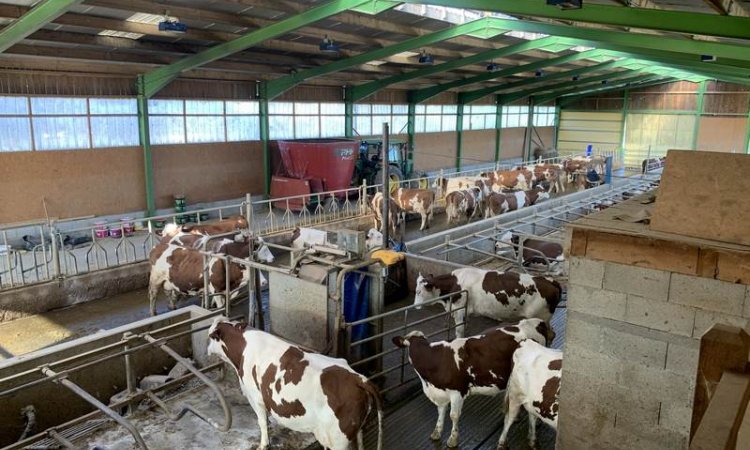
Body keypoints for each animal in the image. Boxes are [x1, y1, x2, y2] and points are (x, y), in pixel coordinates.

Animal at [207, 318, 384, 450]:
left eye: (210, 336)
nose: (206, 349)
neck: (243, 348)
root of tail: (359, 379)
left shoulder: (255, 397)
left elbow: (262, 422)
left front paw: (263, 444)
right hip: (357, 429)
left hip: (339, 438)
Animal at [394, 318, 552, 448]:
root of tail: (533, 321)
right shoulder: (440, 392)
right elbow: (440, 411)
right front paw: (436, 432)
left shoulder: (457, 391)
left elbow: (453, 415)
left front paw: (453, 440)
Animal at [414, 268, 560, 338]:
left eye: (418, 292)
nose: (414, 306)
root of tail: (550, 281)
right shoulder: (465, 311)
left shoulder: (459, 309)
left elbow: (459, 331)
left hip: (540, 317)